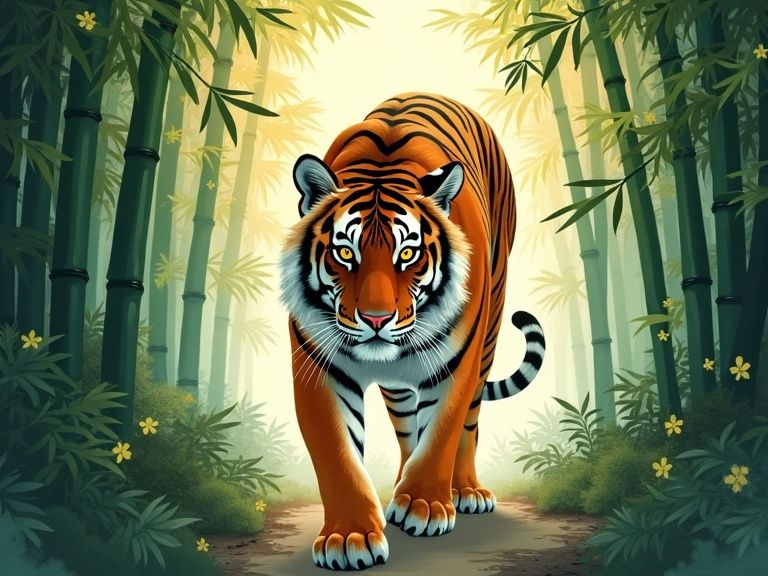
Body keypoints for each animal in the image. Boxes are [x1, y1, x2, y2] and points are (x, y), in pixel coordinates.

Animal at [279, 93, 545, 571]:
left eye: (408, 254)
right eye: (345, 253)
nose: (376, 319)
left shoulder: (457, 361)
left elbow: (442, 431)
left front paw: (424, 506)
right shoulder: (318, 368)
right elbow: (337, 455)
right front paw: (349, 536)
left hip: (491, 326)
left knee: (469, 423)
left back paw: (464, 491)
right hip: (400, 386)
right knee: (407, 427)